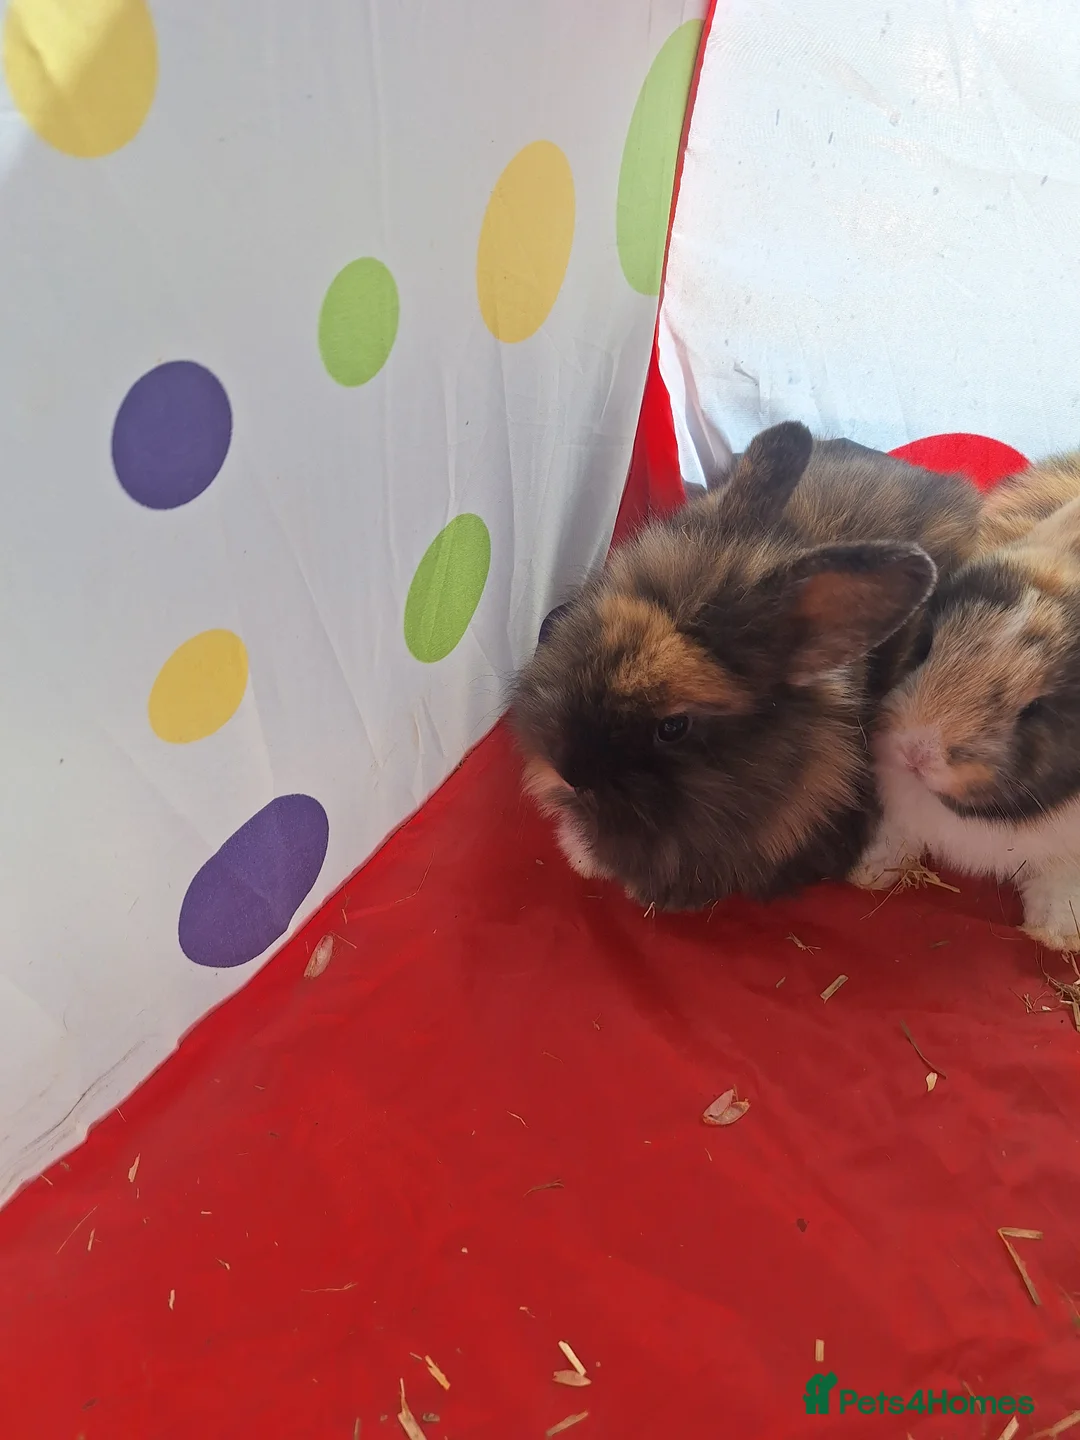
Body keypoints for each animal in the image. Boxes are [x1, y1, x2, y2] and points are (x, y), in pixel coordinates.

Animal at [850, 450, 1080, 951]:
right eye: (927, 644)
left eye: (1037, 708)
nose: (917, 752)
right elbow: (897, 835)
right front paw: (869, 872)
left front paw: (1056, 934)